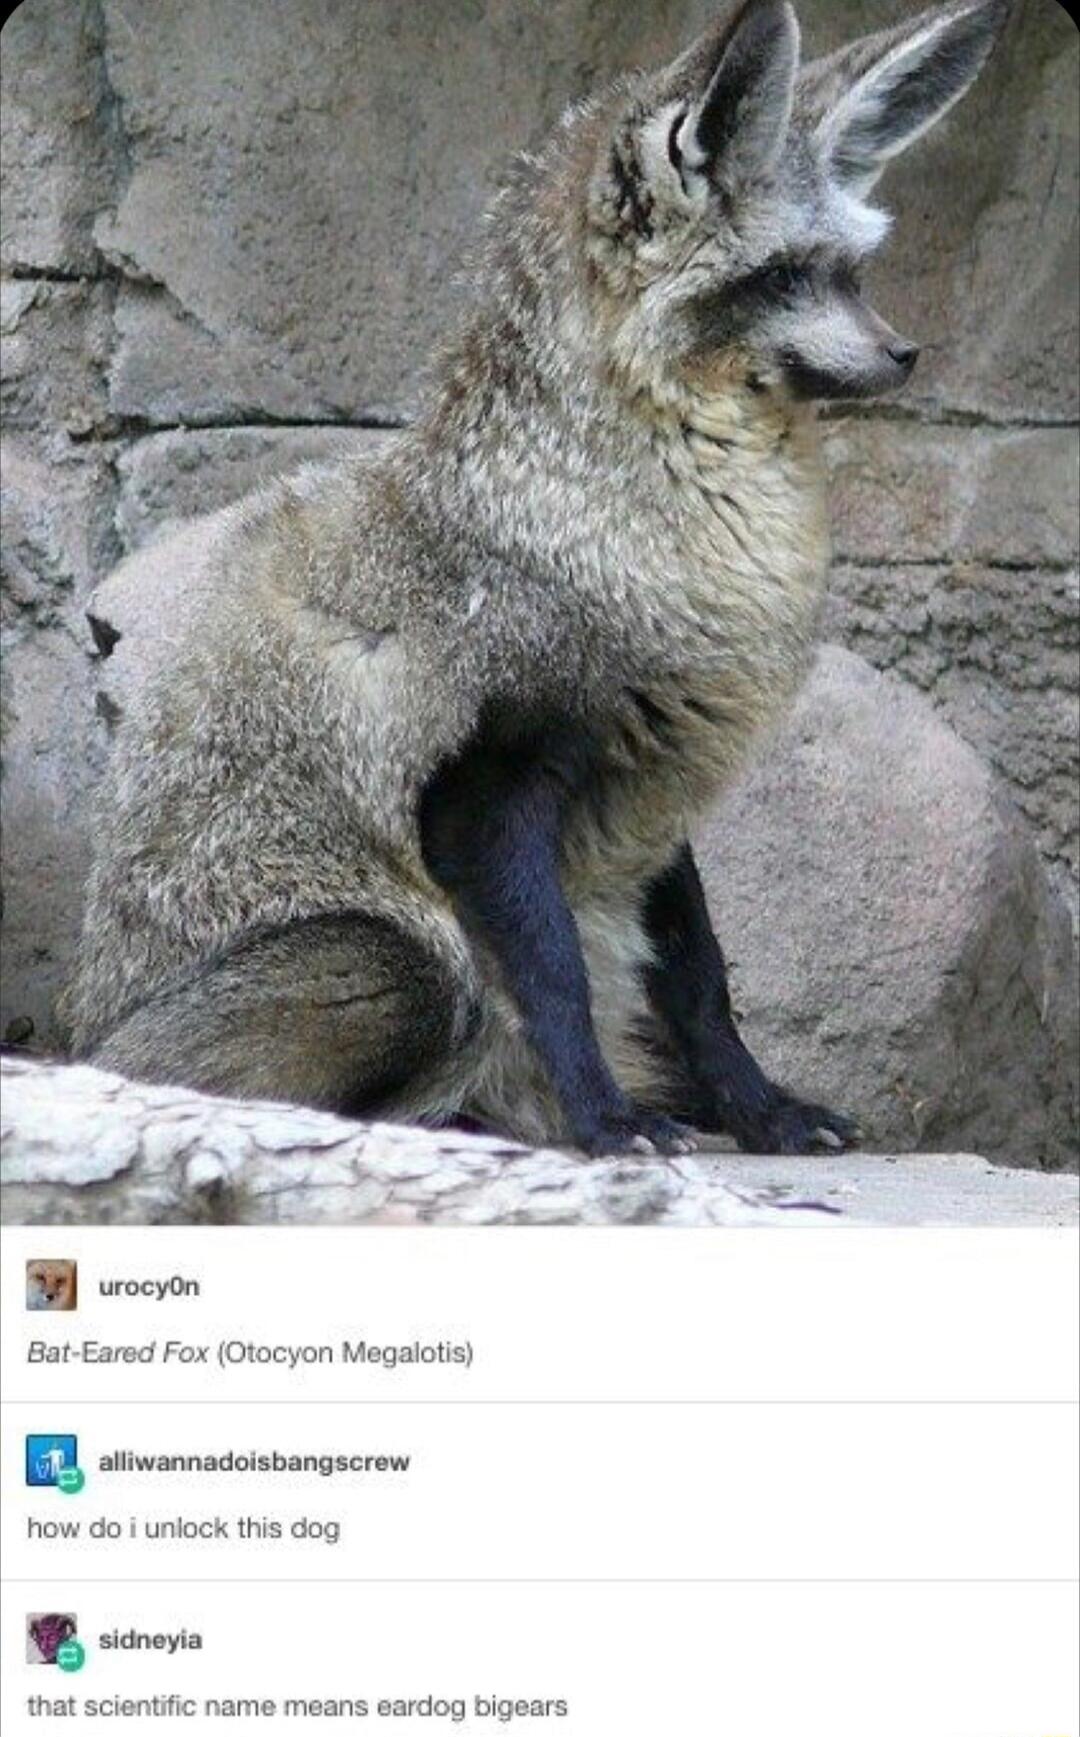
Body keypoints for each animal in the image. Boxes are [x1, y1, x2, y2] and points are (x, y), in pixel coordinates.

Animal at [66, 0, 1010, 1157]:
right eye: (782, 277)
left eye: (850, 274)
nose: (906, 355)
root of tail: (85, 1026)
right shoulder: (489, 783)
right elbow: (559, 982)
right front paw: (605, 1123)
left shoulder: (652, 784)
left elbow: (702, 986)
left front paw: (762, 1113)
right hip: (404, 961)